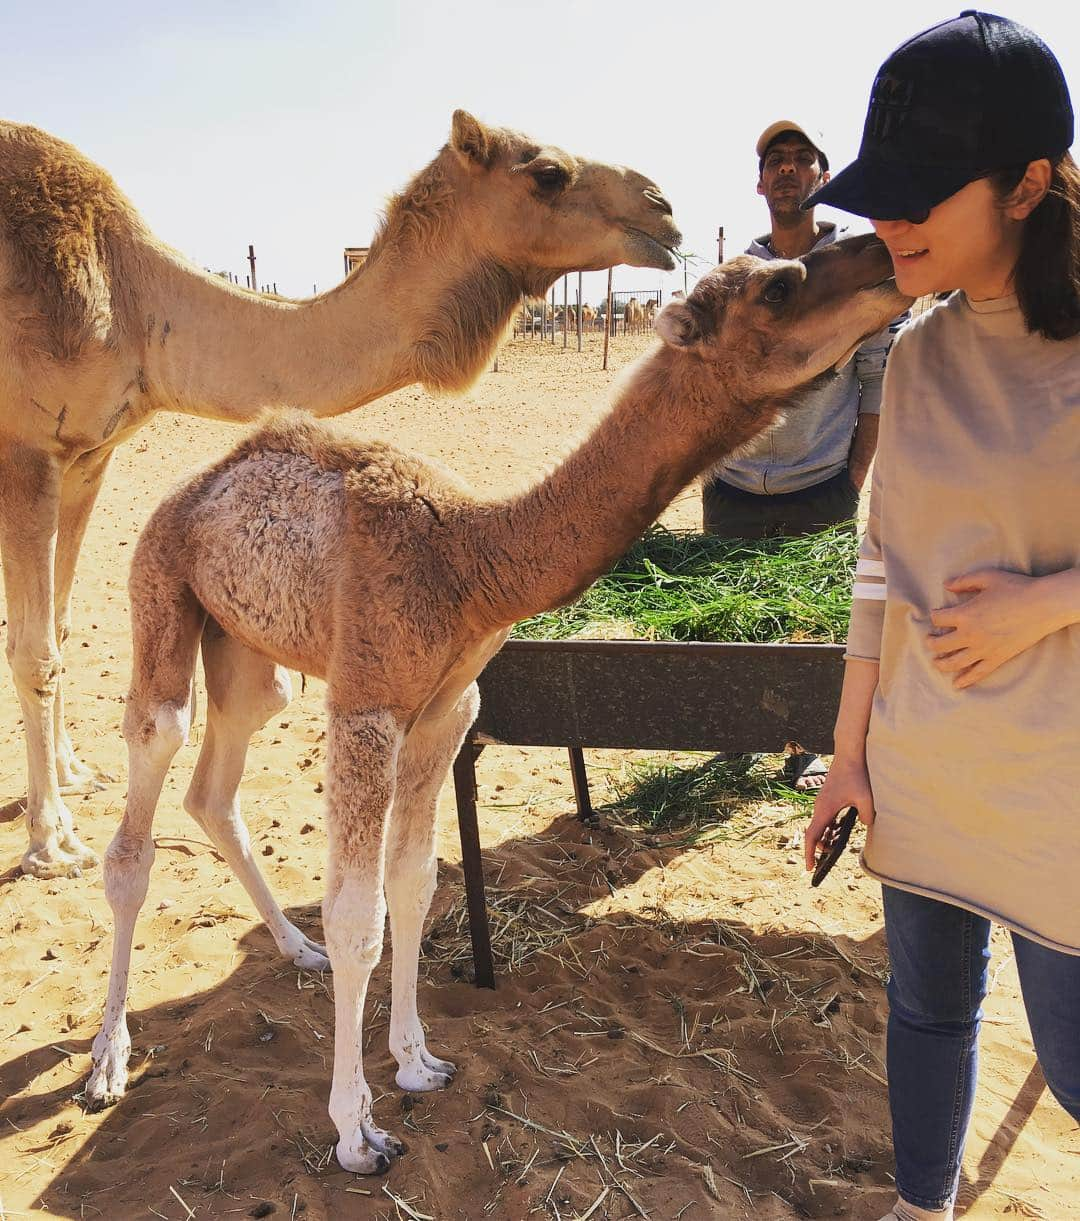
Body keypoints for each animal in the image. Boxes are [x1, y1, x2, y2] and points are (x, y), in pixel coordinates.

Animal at [0, 112, 673, 879]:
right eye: (548, 173)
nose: (663, 208)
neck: (137, 307)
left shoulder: (90, 455)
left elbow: (59, 625)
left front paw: (73, 774)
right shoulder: (27, 452)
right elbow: (33, 649)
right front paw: (52, 840)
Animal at [86, 230, 907, 1172]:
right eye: (778, 285)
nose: (885, 253)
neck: (471, 559)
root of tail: (190, 491)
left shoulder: (445, 710)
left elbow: (412, 883)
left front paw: (417, 1062)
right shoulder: (367, 704)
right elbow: (358, 913)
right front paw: (356, 1130)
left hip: (248, 653)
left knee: (215, 788)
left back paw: (295, 951)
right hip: (161, 585)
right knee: (147, 787)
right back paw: (107, 1062)